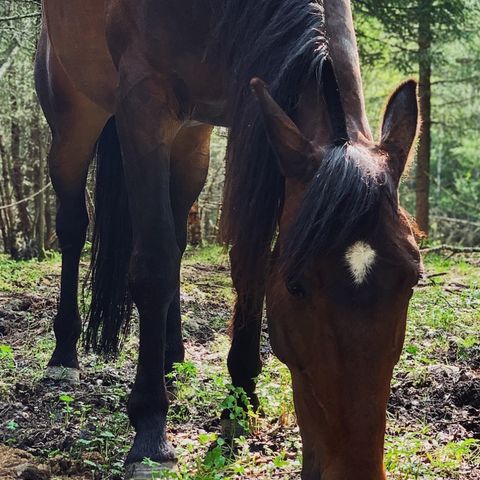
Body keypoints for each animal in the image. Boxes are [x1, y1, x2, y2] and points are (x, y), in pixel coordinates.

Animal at [35, 0, 422, 480]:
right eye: (296, 286)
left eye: (412, 279)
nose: (356, 470)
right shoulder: (142, 102)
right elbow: (154, 267)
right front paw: (150, 433)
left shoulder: (255, 109)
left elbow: (249, 261)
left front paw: (240, 400)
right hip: (74, 117)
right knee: (74, 227)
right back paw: (64, 357)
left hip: (190, 137)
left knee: (178, 236)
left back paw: (172, 354)